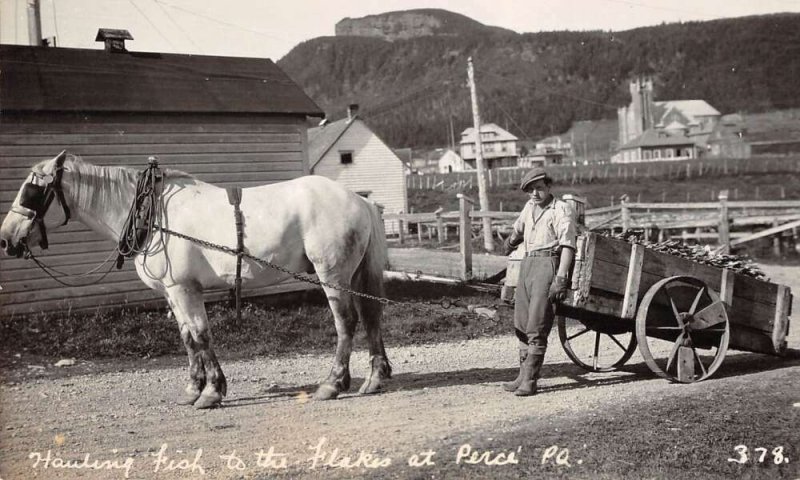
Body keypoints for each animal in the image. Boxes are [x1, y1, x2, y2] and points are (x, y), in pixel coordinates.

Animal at [1, 153, 392, 408]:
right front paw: (194, 387)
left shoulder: (185, 288)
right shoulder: (172, 293)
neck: (153, 215)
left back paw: (332, 384)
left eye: (31, 190)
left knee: (347, 322)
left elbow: (202, 335)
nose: (6, 239)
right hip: (353, 273)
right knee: (371, 317)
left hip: (333, 274)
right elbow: (188, 338)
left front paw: (212, 391)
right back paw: (375, 378)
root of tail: (358, 200)